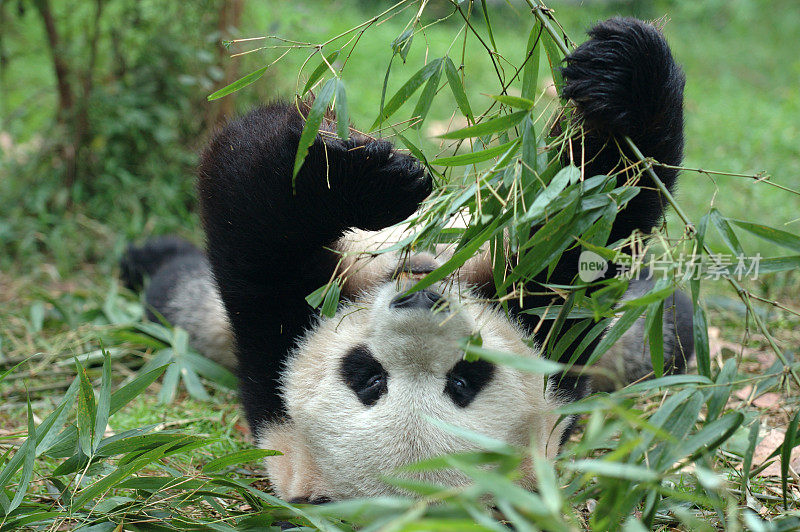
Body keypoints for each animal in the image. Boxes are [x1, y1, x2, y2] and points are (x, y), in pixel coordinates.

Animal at [120, 18, 692, 502]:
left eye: (464, 380)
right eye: (367, 377)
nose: (421, 303)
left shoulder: (553, 339)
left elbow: (589, 224)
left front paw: (623, 76)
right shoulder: (273, 352)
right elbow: (256, 210)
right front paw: (370, 177)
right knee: (180, 293)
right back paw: (146, 258)